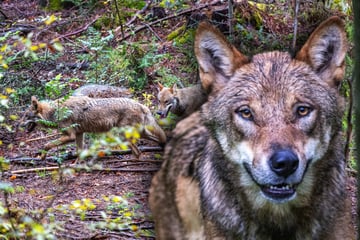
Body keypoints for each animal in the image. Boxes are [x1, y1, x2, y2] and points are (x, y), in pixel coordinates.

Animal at [19, 95, 166, 159]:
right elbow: (79, 153)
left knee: (138, 152)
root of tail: (142, 105)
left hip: (124, 136)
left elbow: (47, 145)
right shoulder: (79, 134)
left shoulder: (70, 136)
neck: (55, 112)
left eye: (26, 116)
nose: (18, 125)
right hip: (140, 133)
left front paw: (42, 156)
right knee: (156, 141)